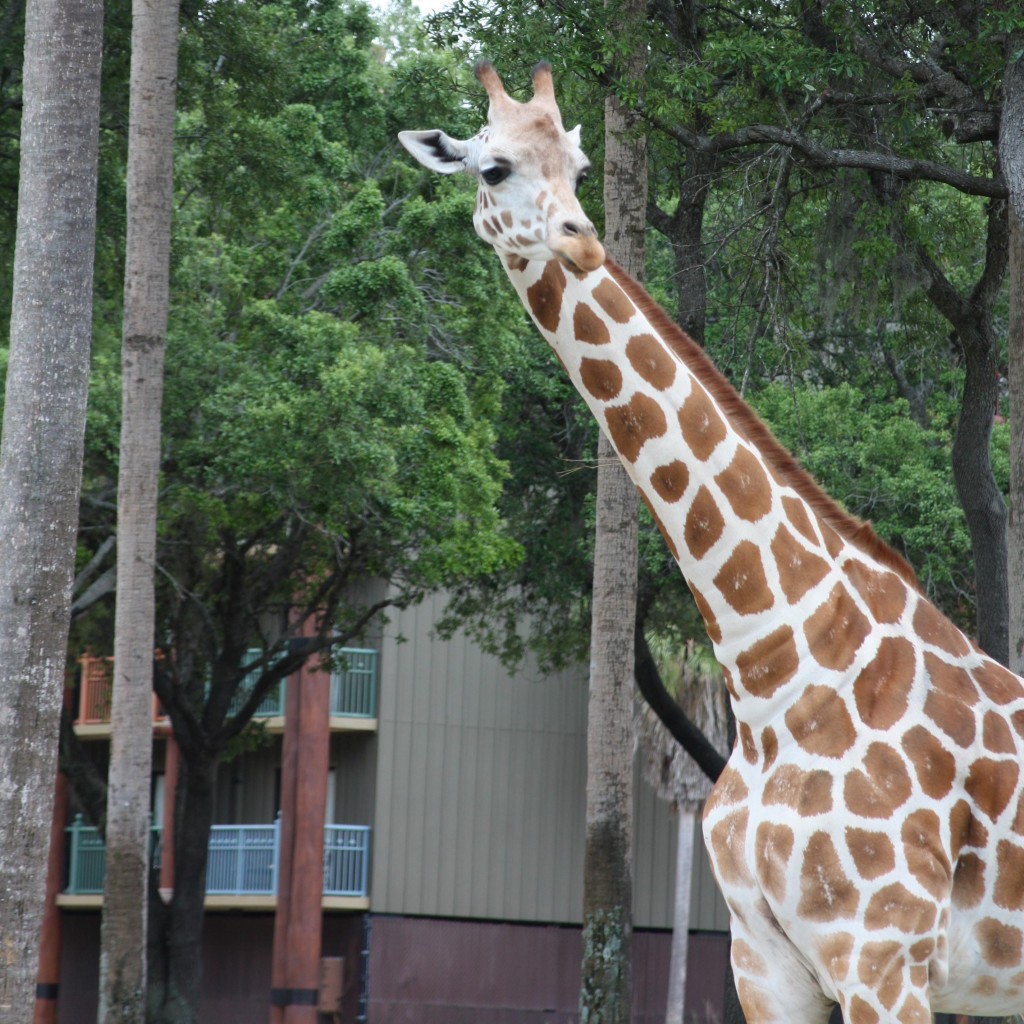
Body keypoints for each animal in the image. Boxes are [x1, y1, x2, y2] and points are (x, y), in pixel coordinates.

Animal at [401, 64, 1024, 1024]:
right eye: (493, 167)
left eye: (582, 167)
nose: (583, 241)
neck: (774, 672)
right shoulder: (764, 964)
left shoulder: (884, 958)